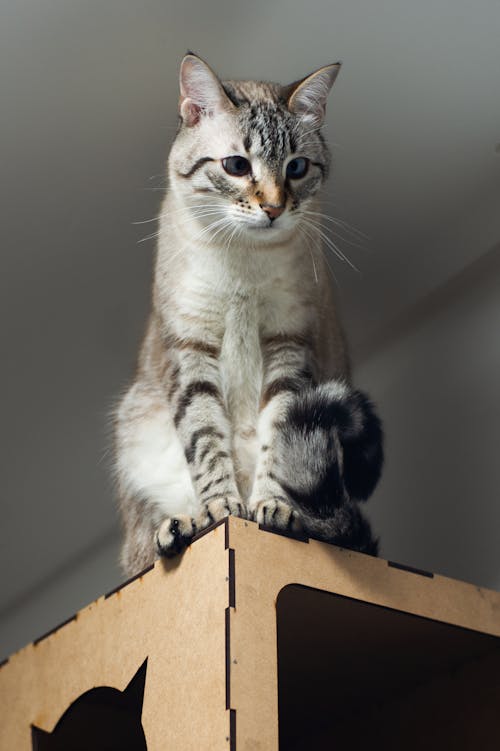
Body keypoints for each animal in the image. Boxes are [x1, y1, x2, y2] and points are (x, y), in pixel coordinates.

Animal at [115, 51, 382, 576]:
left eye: (297, 167)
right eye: (237, 165)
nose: (274, 209)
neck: (243, 257)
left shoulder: (289, 343)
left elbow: (278, 436)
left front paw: (270, 510)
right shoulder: (191, 349)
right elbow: (205, 441)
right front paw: (221, 511)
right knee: (142, 546)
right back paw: (176, 529)